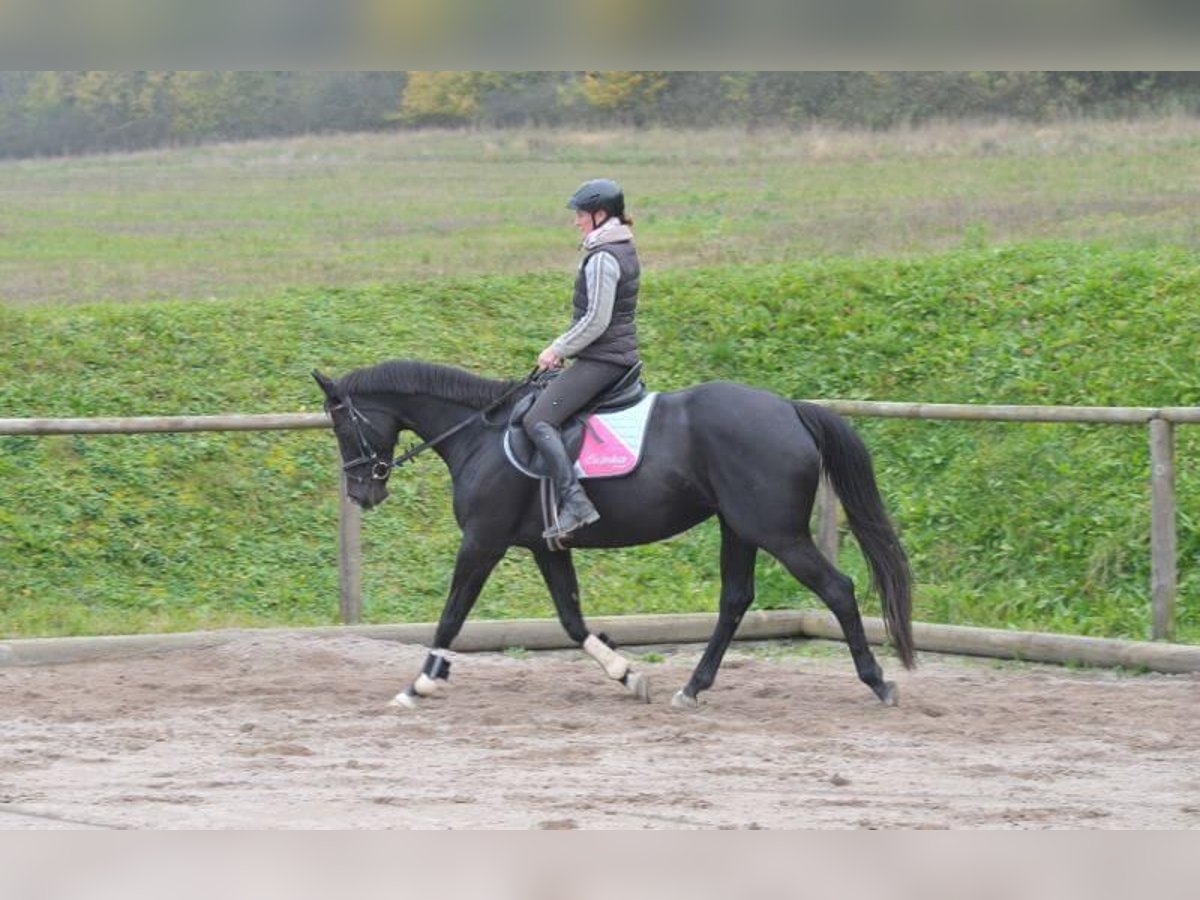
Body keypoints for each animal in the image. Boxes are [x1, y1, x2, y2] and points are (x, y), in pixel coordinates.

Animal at [314, 360, 912, 710]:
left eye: (343, 425)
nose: (362, 492)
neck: (479, 435)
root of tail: (789, 409)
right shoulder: (544, 545)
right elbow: (571, 619)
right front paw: (626, 674)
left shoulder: (483, 541)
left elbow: (453, 614)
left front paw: (420, 683)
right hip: (740, 528)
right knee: (736, 600)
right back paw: (691, 688)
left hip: (777, 532)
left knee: (837, 589)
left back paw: (878, 682)